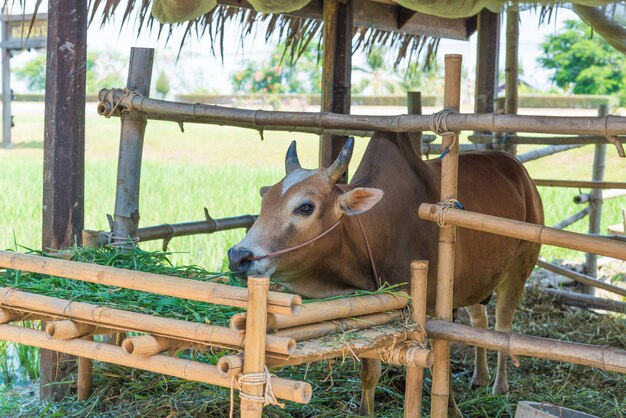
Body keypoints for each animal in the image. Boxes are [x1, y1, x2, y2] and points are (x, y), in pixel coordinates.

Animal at [228, 132, 540, 416]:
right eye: (265, 203)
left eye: (305, 207)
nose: (237, 256)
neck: (380, 230)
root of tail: (518, 169)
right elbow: (370, 372)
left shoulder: (433, 314)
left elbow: (439, 368)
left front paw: (452, 409)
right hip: (478, 281)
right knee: (480, 322)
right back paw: (480, 377)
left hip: (519, 268)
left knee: (503, 327)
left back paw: (499, 386)